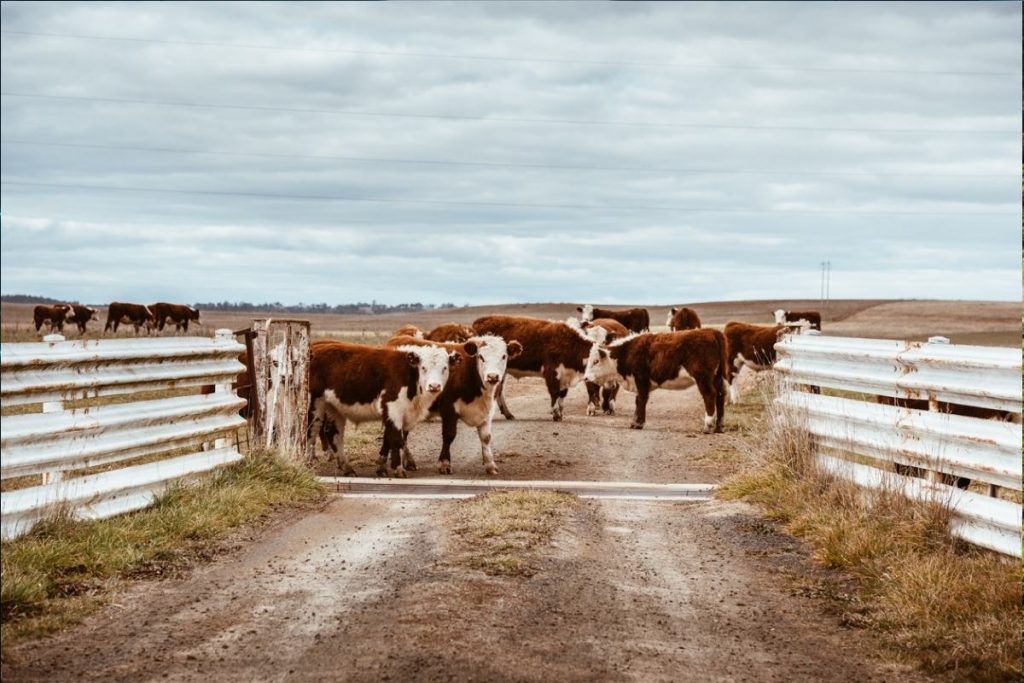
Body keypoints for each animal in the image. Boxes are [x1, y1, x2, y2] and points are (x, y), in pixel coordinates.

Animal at [307, 339, 460, 479]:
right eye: (423, 367)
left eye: (444, 368)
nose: (434, 386)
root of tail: (315, 347)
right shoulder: (393, 408)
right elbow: (397, 439)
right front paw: (398, 470)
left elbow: (388, 438)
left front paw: (382, 467)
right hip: (315, 403)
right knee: (311, 431)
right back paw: (309, 462)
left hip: (334, 408)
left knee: (334, 434)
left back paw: (347, 468)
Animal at [387, 331, 524, 473]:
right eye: (481, 357)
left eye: (504, 356)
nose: (492, 376)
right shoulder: (448, 408)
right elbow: (449, 435)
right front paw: (444, 463)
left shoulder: (487, 410)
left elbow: (486, 437)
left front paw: (490, 465)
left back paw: (407, 461)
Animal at [585, 329, 729, 432]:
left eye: (596, 361)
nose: (586, 378)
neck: (627, 352)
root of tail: (713, 332)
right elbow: (638, 401)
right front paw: (636, 422)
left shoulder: (641, 379)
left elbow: (641, 400)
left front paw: (637, 423)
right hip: (717, 377)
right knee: (720, 395)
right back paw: (719, 426)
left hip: (703, 377)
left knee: (709, 395)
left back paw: (708, 426)